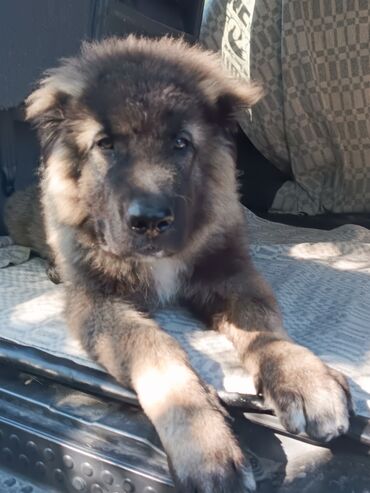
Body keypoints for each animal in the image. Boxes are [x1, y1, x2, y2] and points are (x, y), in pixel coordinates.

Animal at [10, 36, 350, 490]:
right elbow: (156, 351)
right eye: (106, 144)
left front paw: (305, 378)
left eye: (181, 143)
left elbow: (263, 325)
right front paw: (205, 445)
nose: (150, 221)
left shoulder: (229, 273)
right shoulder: (98, 300)